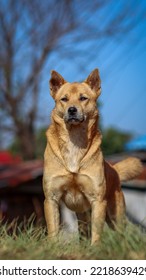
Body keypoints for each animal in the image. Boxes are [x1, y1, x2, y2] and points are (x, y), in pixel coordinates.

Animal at [42, 69, 143, 244]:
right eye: (64, 99)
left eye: (83, 98)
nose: (72, 110)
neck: (74, 140)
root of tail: (114, 169)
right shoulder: (51, 198)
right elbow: (53, 229)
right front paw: (52, 247)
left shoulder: (98, 200)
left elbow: (97, 232)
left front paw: (95, 247)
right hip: (82, 214)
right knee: (83, 233)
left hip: (116, 215)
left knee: (120, 234)